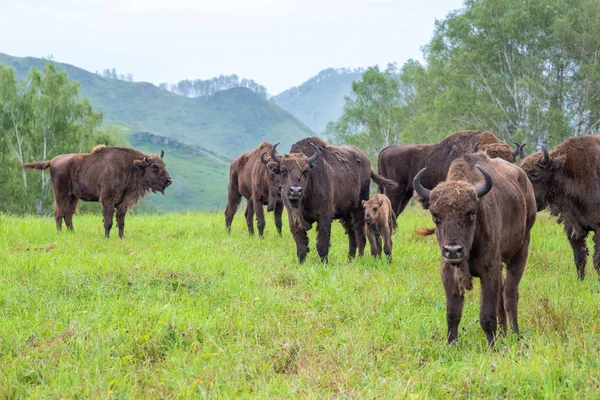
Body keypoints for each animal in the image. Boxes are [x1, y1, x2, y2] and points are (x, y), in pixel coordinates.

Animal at [21, 144, 171, 238]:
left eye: (164, 164)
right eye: (154, 166)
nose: (169, 180)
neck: (131, 166)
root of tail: (51, 161)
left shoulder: (122, 203)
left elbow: (121, 221)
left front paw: (121, 237)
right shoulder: (107, 201)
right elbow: (108, 221)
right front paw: (107, 237)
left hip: (73, 197)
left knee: (68, 215)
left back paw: (72, 233)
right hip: (61, 194)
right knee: (59, 213)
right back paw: (59, 233)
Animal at [270, 136, 396, 264]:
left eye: (305, 171)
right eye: (283, 171)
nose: (295, 191)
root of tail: (367, 163)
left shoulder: (324, 218)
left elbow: (322, 245)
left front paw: (324, 263)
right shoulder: (294, 219)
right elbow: (301, 246)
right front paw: (301, 263)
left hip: (359, 209)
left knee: (360, 235)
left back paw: (359, 258)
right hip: (346, 215)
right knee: (352, 235)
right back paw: (350, 259)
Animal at [414, 153, 536, 346]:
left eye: (471, 213)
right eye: (435, 216)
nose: (453, 250)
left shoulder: (489, 271)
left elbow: (486, 316)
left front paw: (492, 346)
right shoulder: (448, 273)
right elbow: (452, 314)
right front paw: (451, 344)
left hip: (520, 250)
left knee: (510, 293)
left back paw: (515, 334)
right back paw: (503, 333)